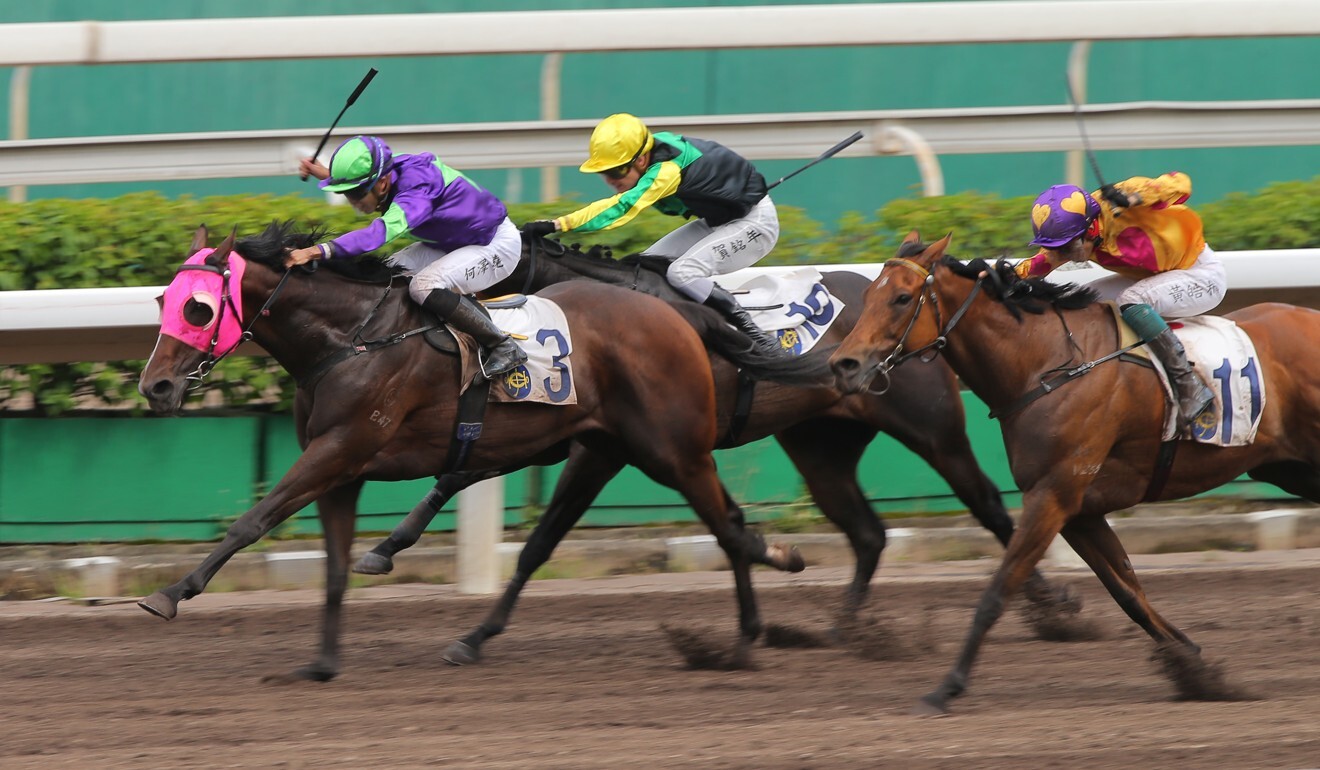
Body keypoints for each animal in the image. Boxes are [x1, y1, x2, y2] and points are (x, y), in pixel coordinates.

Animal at [136, 223, 813, 681]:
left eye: (198, 307)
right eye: (162, 301)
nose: (155, 386)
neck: (351, 340)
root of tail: (676, 316)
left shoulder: (342, 447)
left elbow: (254, 519)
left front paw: (170, 593)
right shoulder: (342, 470)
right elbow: (333, 566)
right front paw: (322, 663)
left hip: (669, 449)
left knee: (727, 525)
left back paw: (745, 636)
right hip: (610, 447)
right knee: (724, 522)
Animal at [353, 235, 1082, 668]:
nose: (484, 350)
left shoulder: (605, 447)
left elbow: (529, 528)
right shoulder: (572, 438)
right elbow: (466, 486)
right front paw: (388, 552)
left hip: (931, 429)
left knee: (990, 506)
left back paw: (1055, 610)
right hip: (821, 444)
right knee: (868, 533)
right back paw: (843, 631)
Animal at [828, 233, 1320, 718]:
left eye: (901, 298)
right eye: (866, 296)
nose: (843, 364)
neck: (1046, 364)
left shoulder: (1053, 496)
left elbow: (998, 591)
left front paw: (945, 688)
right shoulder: (1079, 509)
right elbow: (1127, 592)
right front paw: (1194, 667)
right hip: (1288, 467)